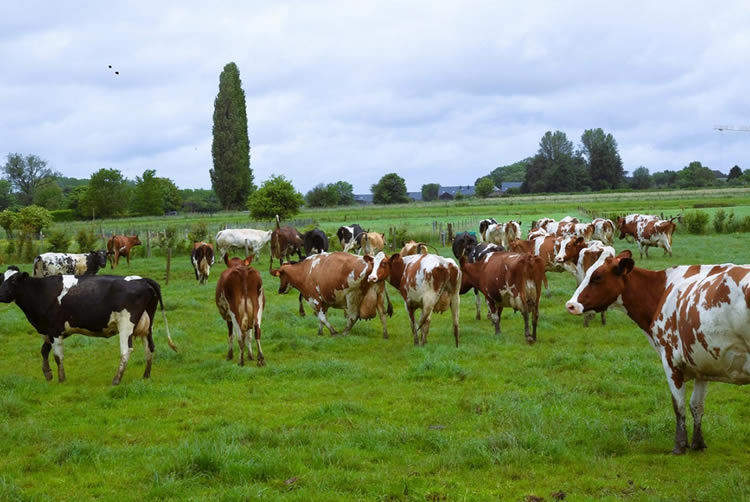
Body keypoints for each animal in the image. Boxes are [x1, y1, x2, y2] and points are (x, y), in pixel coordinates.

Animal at [0, 270, 178, 384]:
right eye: (1, 279)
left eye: (13, 281)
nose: (0, 295)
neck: (41, 291)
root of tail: (142, 279)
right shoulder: (52, 330)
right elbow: (44, 350)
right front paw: (48, 374)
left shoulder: (55, 330)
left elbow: (57, 356)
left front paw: (61, 379)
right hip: (148, 325)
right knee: (150, 347)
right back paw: (146, 375)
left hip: (126, 324)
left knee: (126, 350)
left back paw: (116, 379)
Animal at [568, 251, 750, 454]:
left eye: (597, 277)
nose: (571, 305)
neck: (662, 291)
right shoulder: (700, 362)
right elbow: (696, 406)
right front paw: (698, 444)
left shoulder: (670, 359)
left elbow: (678, 405)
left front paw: (679, 446)